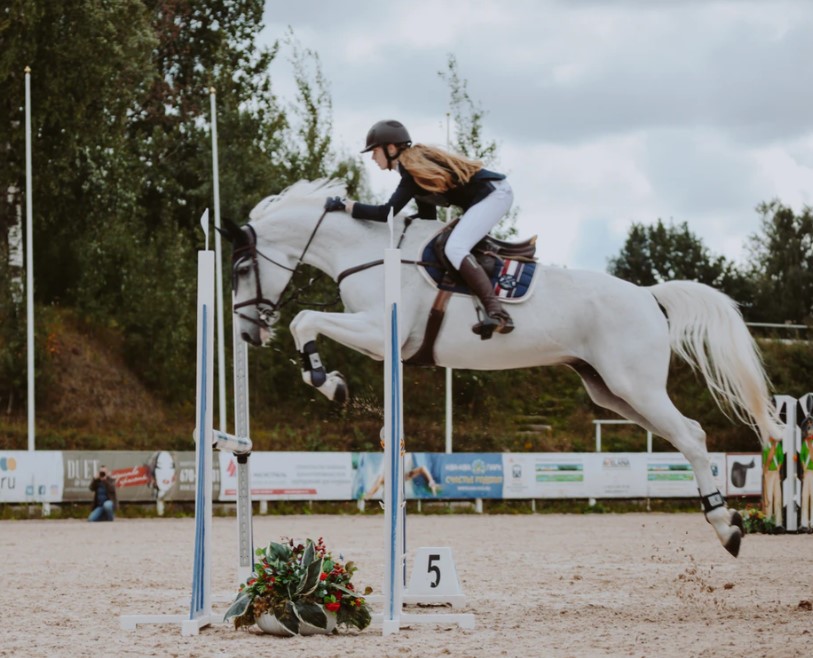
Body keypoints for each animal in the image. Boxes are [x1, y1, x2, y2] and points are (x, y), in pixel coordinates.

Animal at [220, 178, 780, 552]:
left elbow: (305, 320)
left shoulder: (380, 332)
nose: (247, 332)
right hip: (611, 391)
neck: (367, 251)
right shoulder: (381, 342)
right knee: (685, 435)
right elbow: (307, 325)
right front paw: (327, 379)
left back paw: (726, 526)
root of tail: (648, 295)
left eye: (244, 267)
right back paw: (724, 518)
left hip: (635, 386)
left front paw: (326, 381)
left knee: (691, 436)